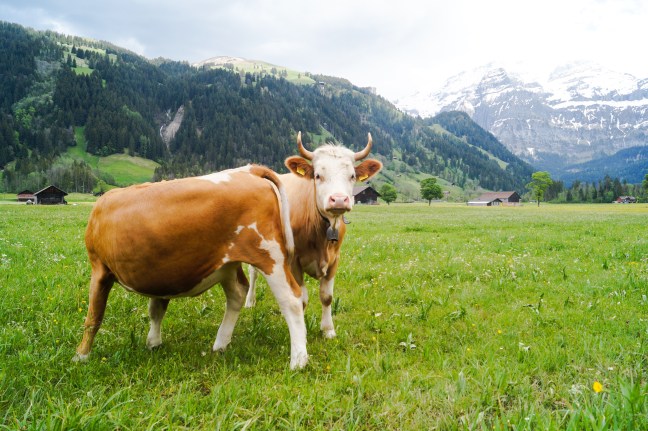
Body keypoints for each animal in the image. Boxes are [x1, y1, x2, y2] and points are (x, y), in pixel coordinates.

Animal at [73, 164, 309, 369]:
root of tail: (248, 169)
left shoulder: (99, 267)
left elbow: (94, 316)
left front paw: (81, 355)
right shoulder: (160, 273)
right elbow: (156, 309)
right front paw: (153, 342)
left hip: (269, 255)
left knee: (291, 300)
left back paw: (298, 360)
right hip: (229, 263)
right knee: (237, 293)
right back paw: (220, 343)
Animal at [245, 132, 382, 338]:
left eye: (352, 176)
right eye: (318, 175)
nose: (339, 199)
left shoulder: (335, 259)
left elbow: (327, 297)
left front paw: (328, 330)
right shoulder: (294, 261)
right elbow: (302, 299)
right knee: (253, 272)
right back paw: (249, 301)